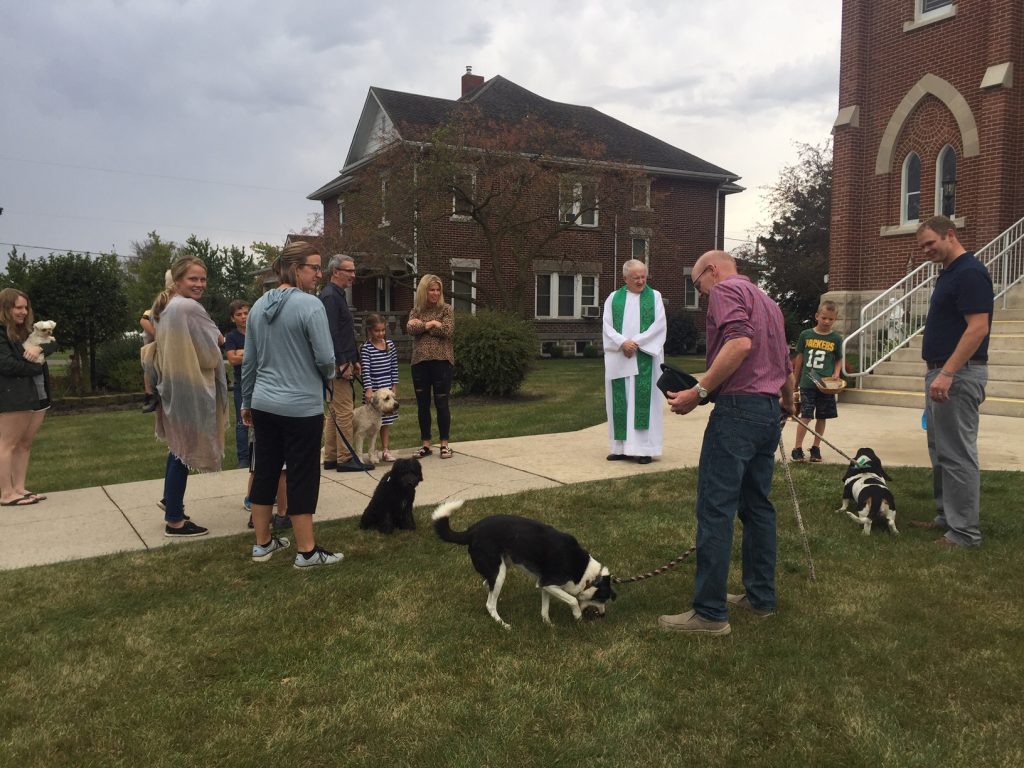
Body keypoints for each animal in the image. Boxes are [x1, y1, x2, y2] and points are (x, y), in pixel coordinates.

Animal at [428, 499, 610, 630]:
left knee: (487, 585)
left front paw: (548, 624)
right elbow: (572, 600)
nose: (603, 615)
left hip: (501, 566)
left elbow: (545, 608)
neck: (586, 573)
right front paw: (577, 616)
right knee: (490, 604)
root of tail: (471, 532)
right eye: (602, 599)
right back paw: (502, 624)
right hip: (498, 571)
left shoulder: (545, 585)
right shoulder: (548, 583)